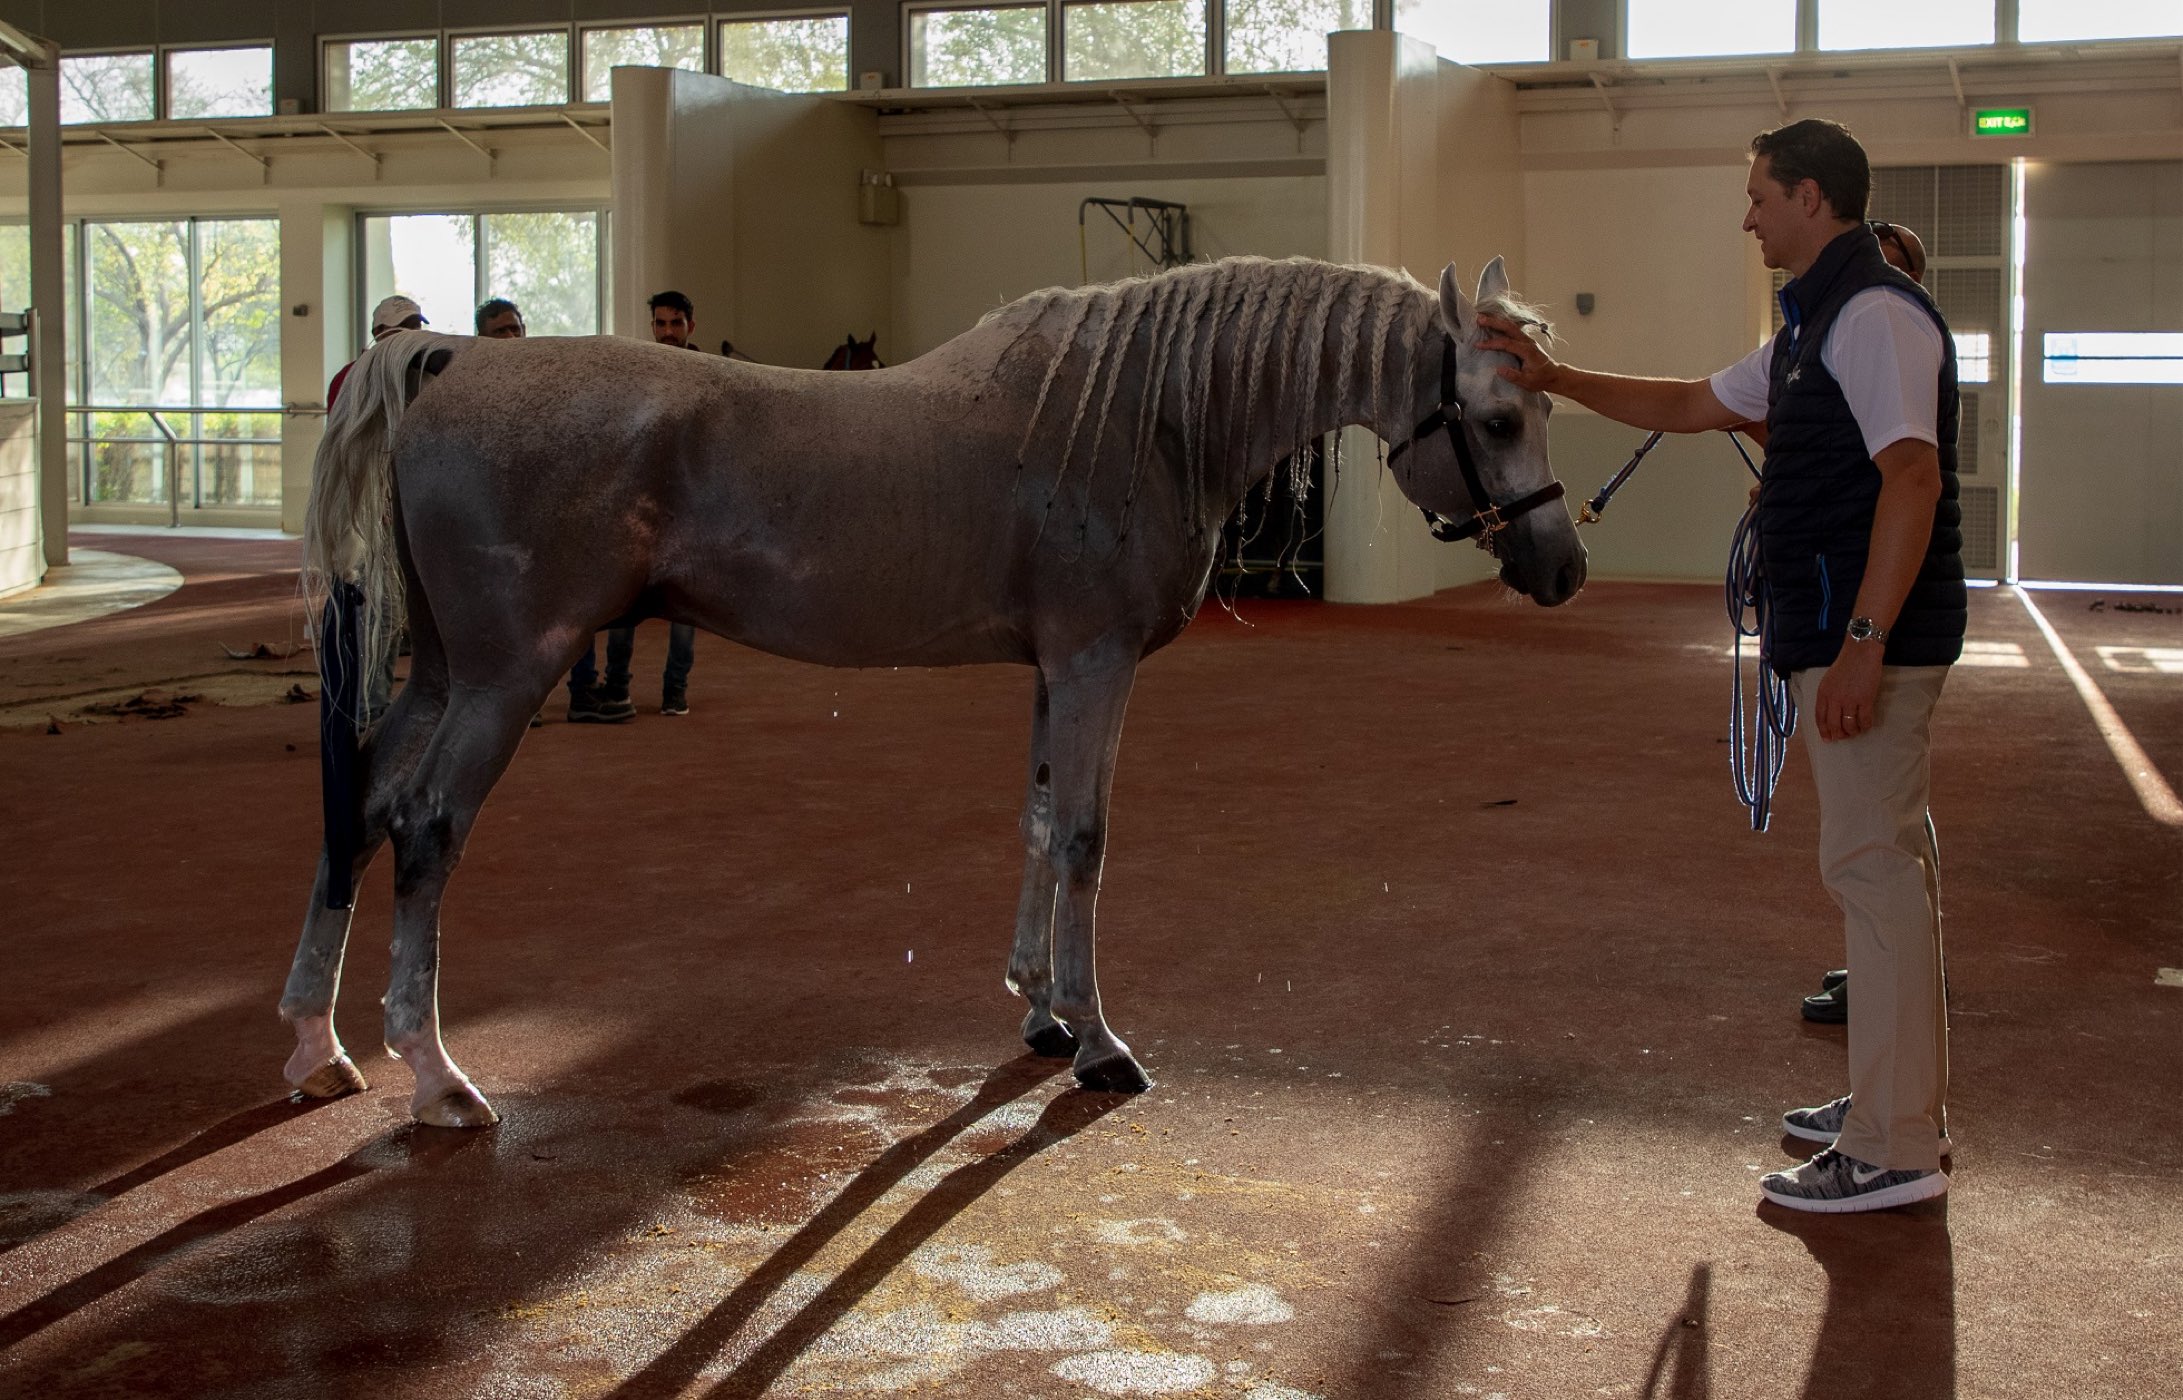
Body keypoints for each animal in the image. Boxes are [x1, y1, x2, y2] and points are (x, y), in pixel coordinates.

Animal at [286, 254, 1585, 1127]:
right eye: (1496, 416)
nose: (1562, 567)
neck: (1144, 413)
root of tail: (448, 358)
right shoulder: (1094, 662)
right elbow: (1084, 838)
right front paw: (1097, 1040)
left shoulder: (1052, 671)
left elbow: (1037, 820)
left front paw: (1039, 1008)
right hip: (504, 675)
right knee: (425, 826)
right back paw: (437, 1075)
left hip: (441, 671)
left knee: (358, 808)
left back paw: (315, 1045)